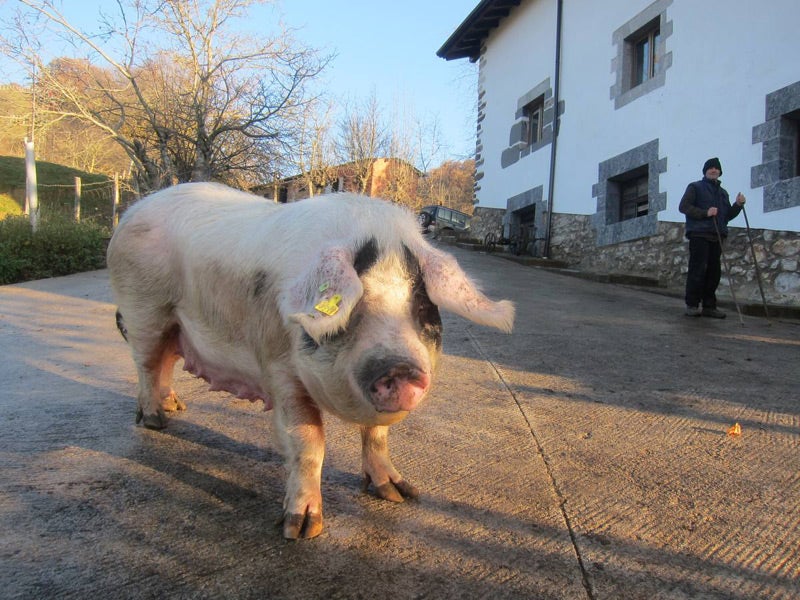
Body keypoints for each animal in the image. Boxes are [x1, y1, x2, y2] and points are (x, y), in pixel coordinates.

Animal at [106, 182, 516, 540]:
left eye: (421, 308)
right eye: (354, 309)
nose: (400, 368)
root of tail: (133, 211)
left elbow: (377, 436)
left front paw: (400, 494)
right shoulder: (280, 366)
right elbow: (309, 441)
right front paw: (301, 530)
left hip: (172, 325)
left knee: (165, 360)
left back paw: (176, 406)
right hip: (143, 310)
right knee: (146, 364)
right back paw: (156, 421)